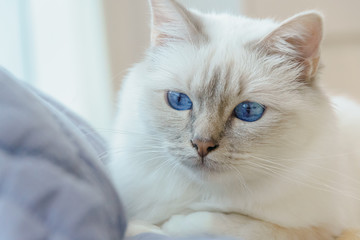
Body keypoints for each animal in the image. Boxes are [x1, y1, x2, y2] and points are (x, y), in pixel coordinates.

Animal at [107, 0, 360, 239]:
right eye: (179, 100)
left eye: (248, 111)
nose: (202, 145)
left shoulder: (318, 229)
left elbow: (211, 221)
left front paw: (167, 225)